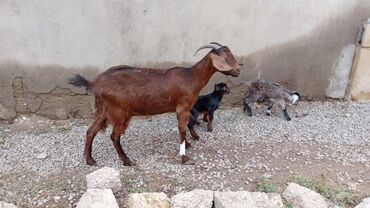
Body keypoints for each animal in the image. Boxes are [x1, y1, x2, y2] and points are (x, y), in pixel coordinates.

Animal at [68, 42, 241, 166]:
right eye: (227, 56)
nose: (238, 70)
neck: (192, 76)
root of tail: (96, 83)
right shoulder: (182, 107)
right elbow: (182, 129)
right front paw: (185, 157)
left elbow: (185, 128)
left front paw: (188, 145)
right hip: (119, 111)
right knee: (114, 136)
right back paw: (127, 161)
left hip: (105, 109)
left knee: (91, 131)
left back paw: (90, 160)